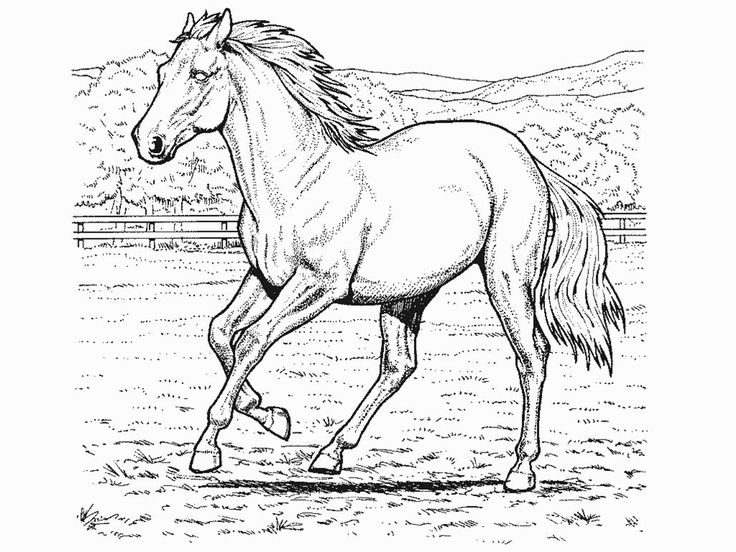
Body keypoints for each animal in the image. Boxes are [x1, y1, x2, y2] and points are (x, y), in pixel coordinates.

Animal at [132, 9, 624, 492]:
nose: (147, 142)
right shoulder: (265, 278)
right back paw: (330, 454)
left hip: (506, 277)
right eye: (162, 72)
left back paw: (520, 470)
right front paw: (271, 415)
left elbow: (252, 340)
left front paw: (208, 449)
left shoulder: (317, 286)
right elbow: (219, 332)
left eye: (200, 73)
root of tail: (530, 161)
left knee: (531, 356)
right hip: (408, 294)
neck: (298, 181)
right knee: (399, 365)